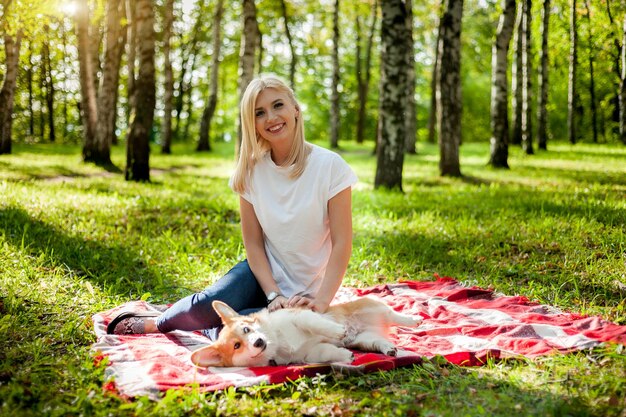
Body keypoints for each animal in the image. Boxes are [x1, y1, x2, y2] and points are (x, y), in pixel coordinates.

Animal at [188, 296, 416, 368]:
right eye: (237, 346)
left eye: (247, 329)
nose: (258, 342)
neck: (277, 341)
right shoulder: (310, 354)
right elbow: (326, 352)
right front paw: (344, 356)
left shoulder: (300, 317)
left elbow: (318, 325)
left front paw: (338, 331)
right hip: (365, 339)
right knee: (379, 342)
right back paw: (390, 350)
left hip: (373, 308)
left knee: (393, 314)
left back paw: (414, 319)